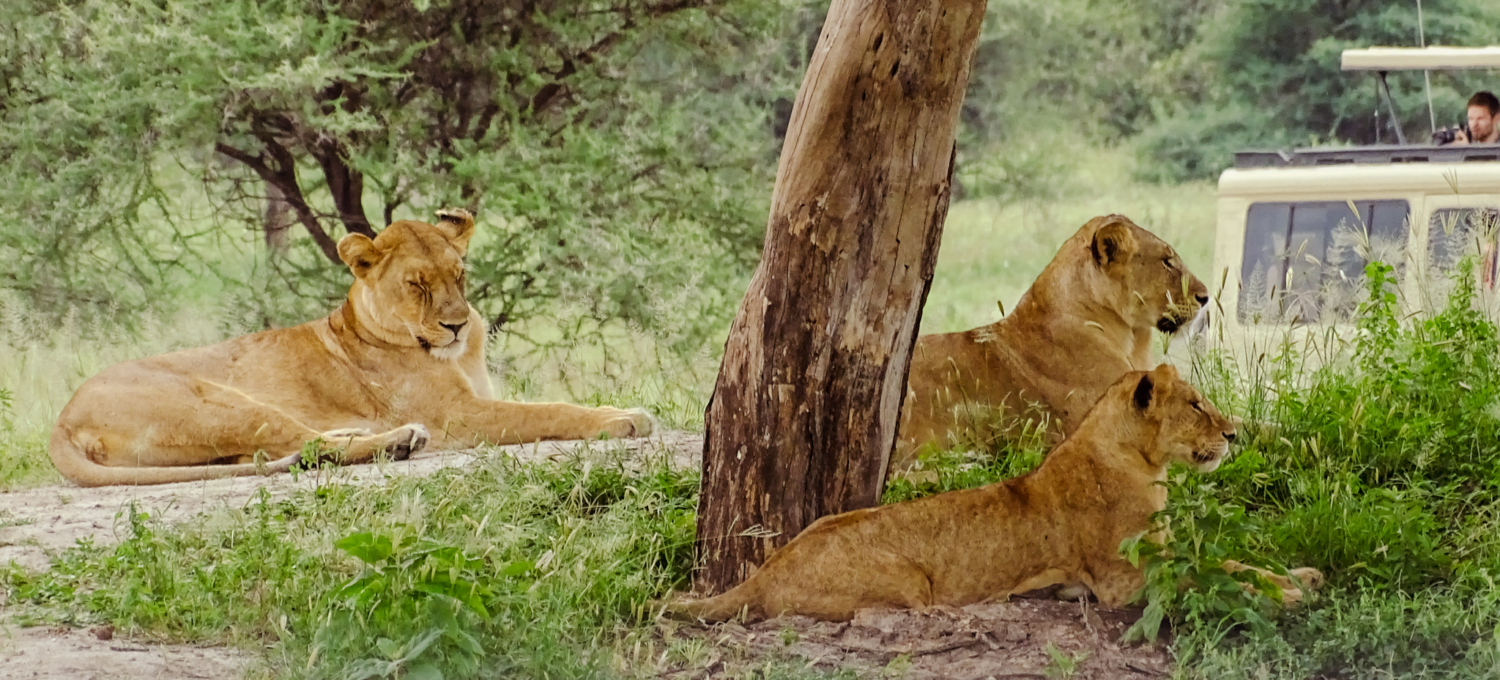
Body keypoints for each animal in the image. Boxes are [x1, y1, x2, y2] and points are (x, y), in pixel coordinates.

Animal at [672, 366, 1326, 621]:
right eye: (1194, 405)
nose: (1234, 434)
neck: (1146, 466)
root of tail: (764, 571)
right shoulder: (1126, 582)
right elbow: (1212, 577)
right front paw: (1288, 595)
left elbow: (1231, 561)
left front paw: (1300, 576)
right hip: (910, 587)